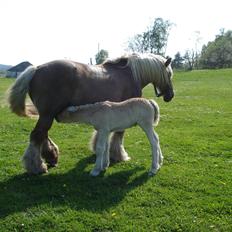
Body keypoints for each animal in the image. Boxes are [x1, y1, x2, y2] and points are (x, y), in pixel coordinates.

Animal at [7, 53, 174, 174]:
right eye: (169, 74)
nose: (170, 96)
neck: (130, 74)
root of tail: (36, 68)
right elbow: (118, 136)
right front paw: (118, 156)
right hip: (47, 115)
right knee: (37, 135)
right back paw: (37, 166)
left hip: (47, 115)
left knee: (43, 135)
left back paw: (51, 157)